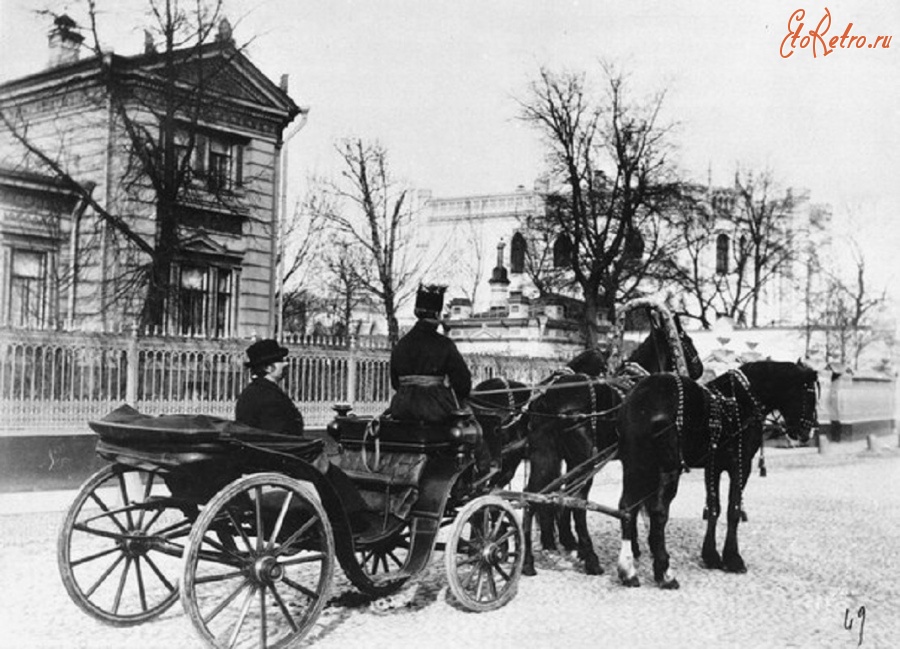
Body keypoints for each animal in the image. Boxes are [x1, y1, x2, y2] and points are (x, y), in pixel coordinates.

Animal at [616, 360, 820, 588]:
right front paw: (733, 558)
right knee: (658, 513)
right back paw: (665, 573)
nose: (808, 431)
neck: (741, 401)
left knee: (627, 508)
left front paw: (711, 555)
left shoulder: (713, 466)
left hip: (636, 465)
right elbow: (733, 510)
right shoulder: (740, 465)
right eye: (810, 394)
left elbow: (714, 508)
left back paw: (628, 570)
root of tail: (643, 399)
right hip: (666, 468)